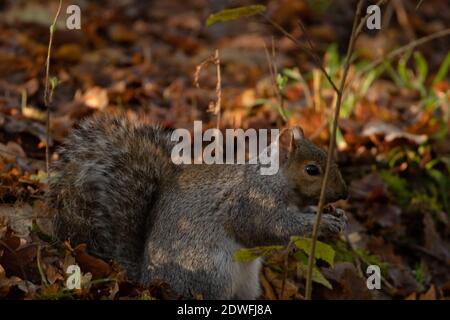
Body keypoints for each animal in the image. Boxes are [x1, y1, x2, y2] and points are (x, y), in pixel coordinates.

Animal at [49, 115, 350, 300]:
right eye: (311, 170)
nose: (343, 193)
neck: (274, 180)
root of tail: (147, 277)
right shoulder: (251, 202)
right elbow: (269, 228)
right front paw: (323, 224)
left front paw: (336, 216)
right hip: (211, 273)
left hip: (247, 282)